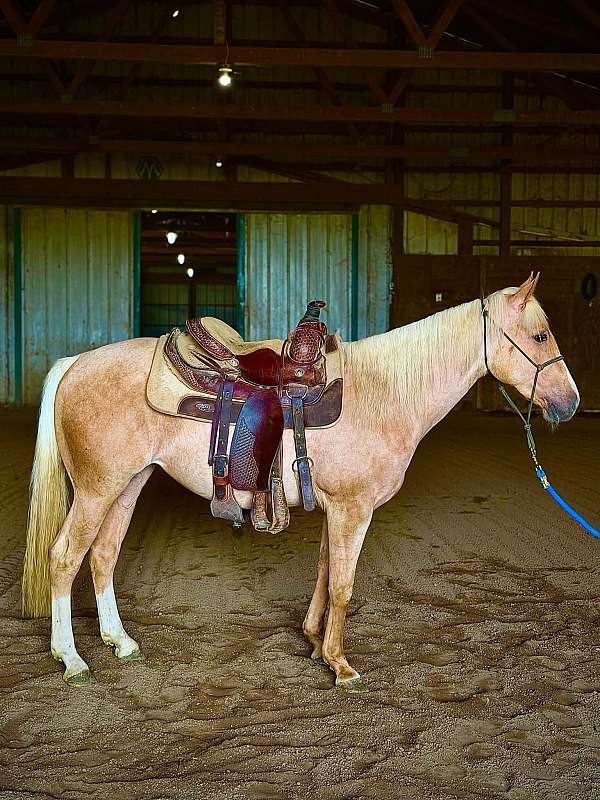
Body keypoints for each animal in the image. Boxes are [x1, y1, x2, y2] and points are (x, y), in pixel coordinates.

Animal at [22, 273, 579, 689]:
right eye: (539, 336)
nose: (571, 402)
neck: (383, 392)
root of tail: (75, 363)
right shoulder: (354, 508)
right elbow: (344, 585)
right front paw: (342, 666)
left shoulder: (337, 508)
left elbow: (324, 571)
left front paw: (314, 643)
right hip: (95, 491)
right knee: (65, 558)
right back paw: (72, 659)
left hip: (127, 486)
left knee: (102, 556)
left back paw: (121, 642)